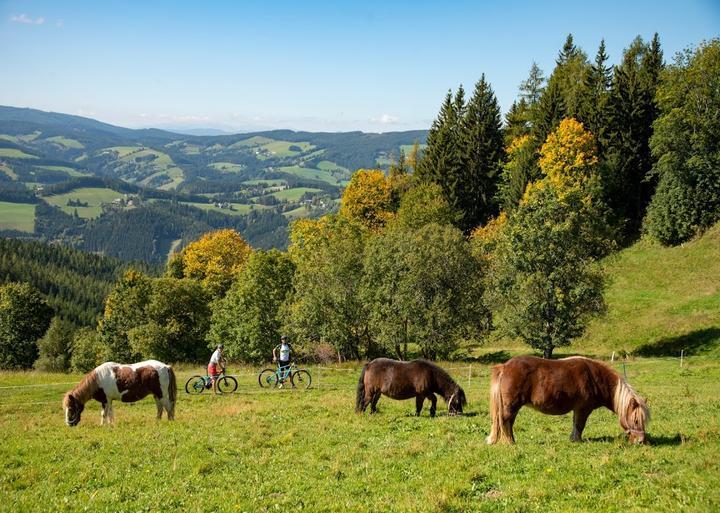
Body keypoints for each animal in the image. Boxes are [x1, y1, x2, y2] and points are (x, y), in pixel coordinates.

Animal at [486, 356, 648, 444]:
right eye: (636, 420)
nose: (640, 441)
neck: (596, 379)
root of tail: (505, 366)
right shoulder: (583, 409)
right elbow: (580, 425)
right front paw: (577, 440)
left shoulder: (578, 409)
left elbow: (576, 424)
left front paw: (573, 439)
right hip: (511, 406)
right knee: (505, 421)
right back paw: (510, 442)